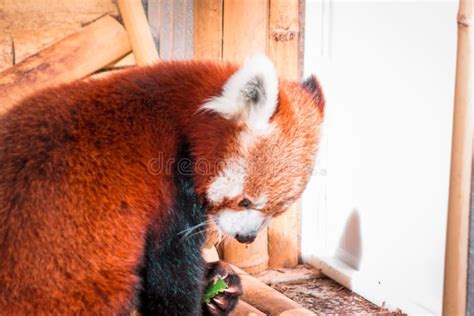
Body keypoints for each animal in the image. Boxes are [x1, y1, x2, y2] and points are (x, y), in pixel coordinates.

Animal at [0, 54, 324, 314]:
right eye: (245, 201)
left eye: (276, 211)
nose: (246, 237)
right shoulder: (166, 190)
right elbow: (169, 274)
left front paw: (221, 286)